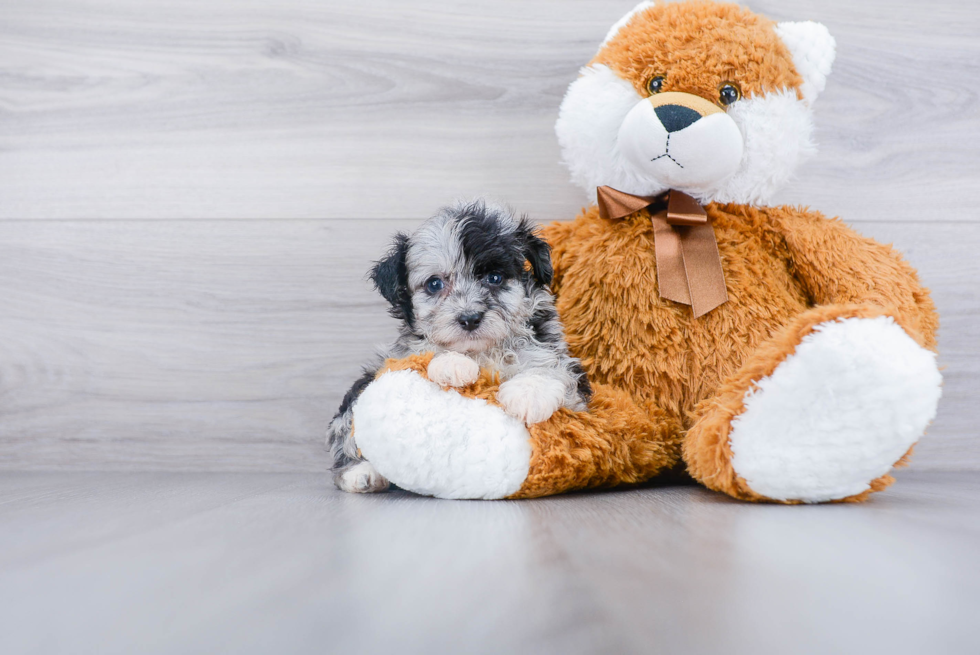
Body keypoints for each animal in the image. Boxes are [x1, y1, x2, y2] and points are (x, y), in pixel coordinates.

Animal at [328, 202, 588, 494]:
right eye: (434, 284)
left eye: (495, 277)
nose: (470, 318)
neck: (483, 351)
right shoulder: (402, 356)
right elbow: (429, 351)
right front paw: (451, 363)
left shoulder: (575, 385)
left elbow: (551, 366)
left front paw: (529, 394)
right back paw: (361, 473)